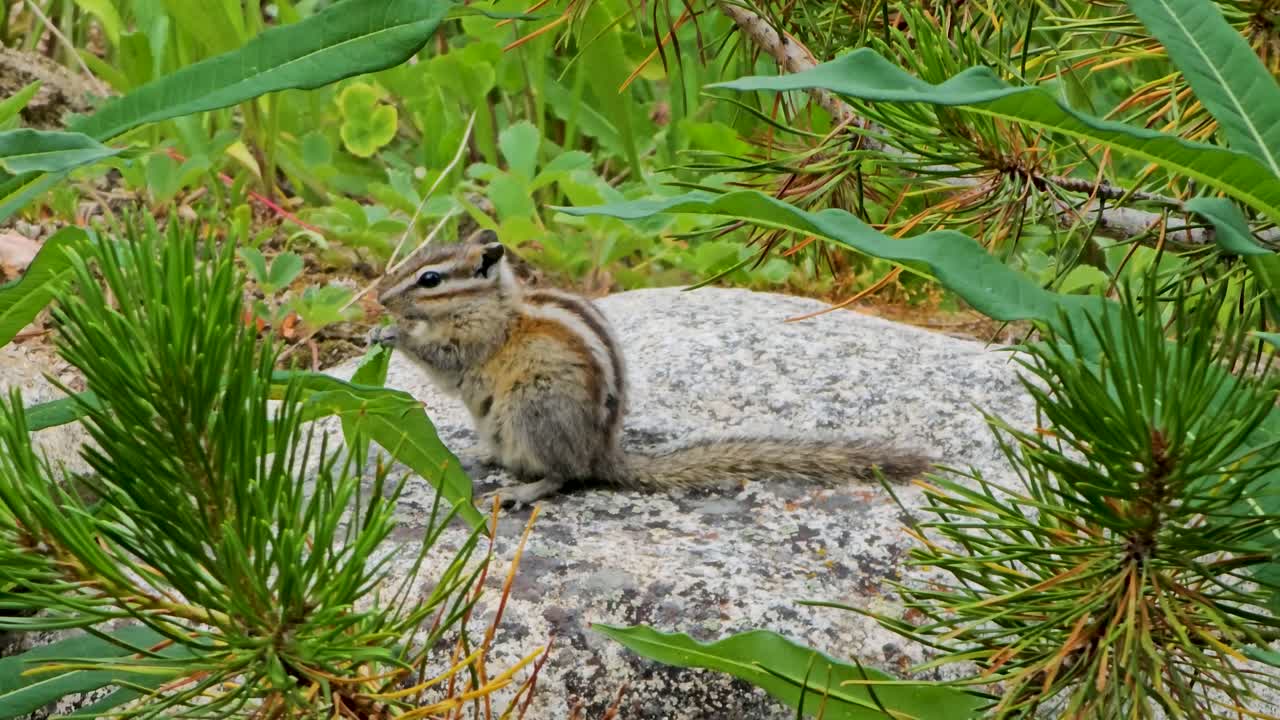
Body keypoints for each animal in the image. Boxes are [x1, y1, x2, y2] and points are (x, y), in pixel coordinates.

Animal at [369, 229, 932, 508]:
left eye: (429, 279)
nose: (380, 298)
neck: (494, 302)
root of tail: (602, 454)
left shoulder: (476, 342)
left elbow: (445, 362)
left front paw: (394, 334)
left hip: (534, 405)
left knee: (564, 476)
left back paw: (523, 490)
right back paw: (477, 455)